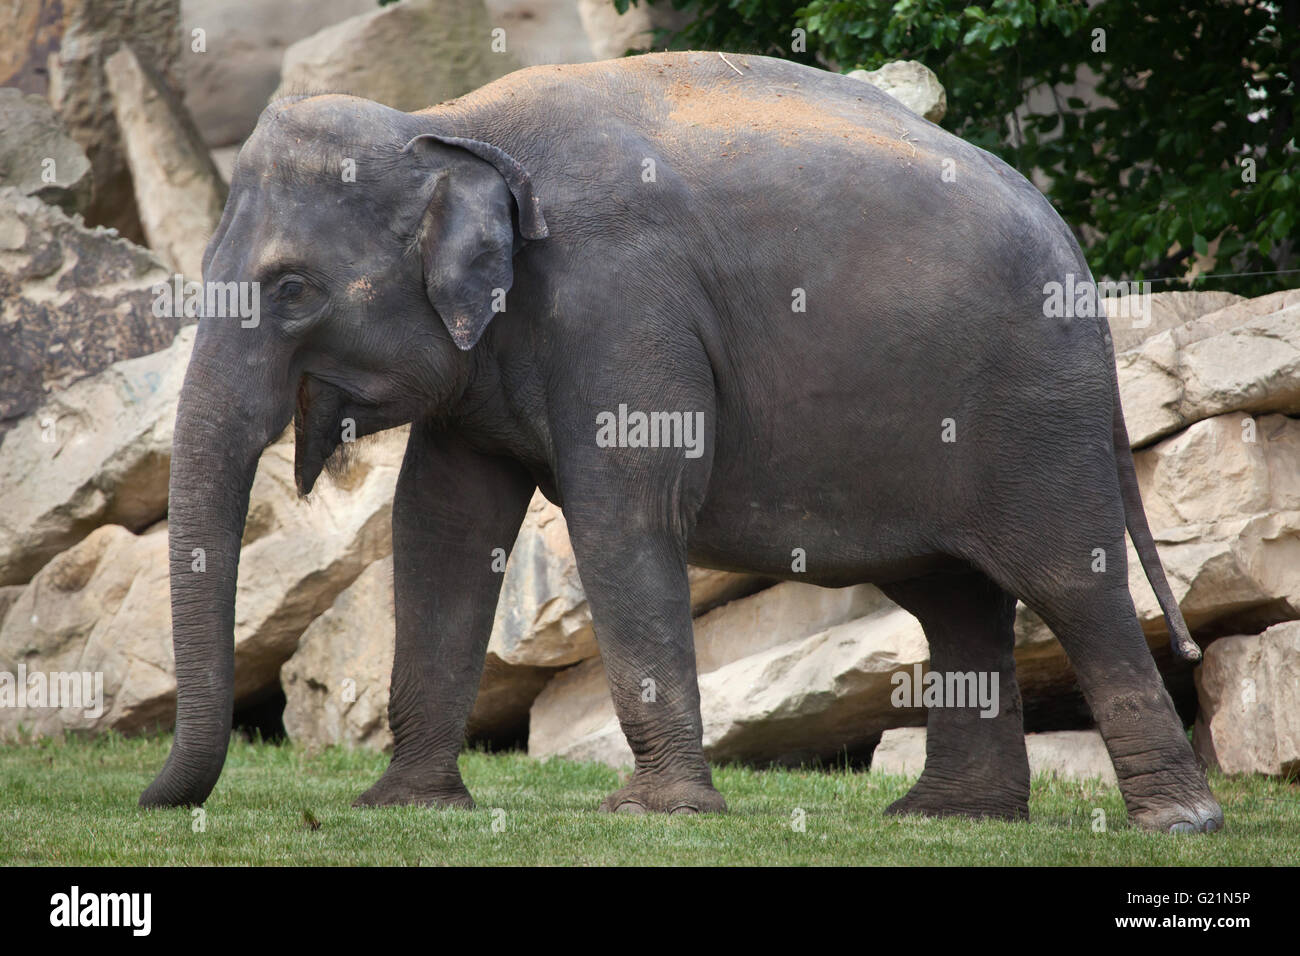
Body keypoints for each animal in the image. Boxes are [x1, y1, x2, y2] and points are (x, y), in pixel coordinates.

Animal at [140, 50, 1223, 832]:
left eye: (292, 289)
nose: (150, 801)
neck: (453, 122)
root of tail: (1076, 247)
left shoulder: (620, 303)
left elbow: (625, 512)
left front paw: (654, 813)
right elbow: (439, 526)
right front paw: (405, 805)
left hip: (1039, 409)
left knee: (1069, 581)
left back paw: (1176, 822)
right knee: (955, 599)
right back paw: (942, 819)